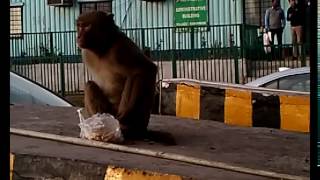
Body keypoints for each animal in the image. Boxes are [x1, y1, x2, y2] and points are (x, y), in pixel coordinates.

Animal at [76, 11, 159, 140]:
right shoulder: (86, 52)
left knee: (134, 76)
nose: (78, 36)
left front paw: (127, 114)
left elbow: (147, 69)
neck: (103, 47)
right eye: (79, 26)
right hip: (109, 111)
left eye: (87, 26)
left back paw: (129, 127)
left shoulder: (121, 47)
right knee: (89, 85)